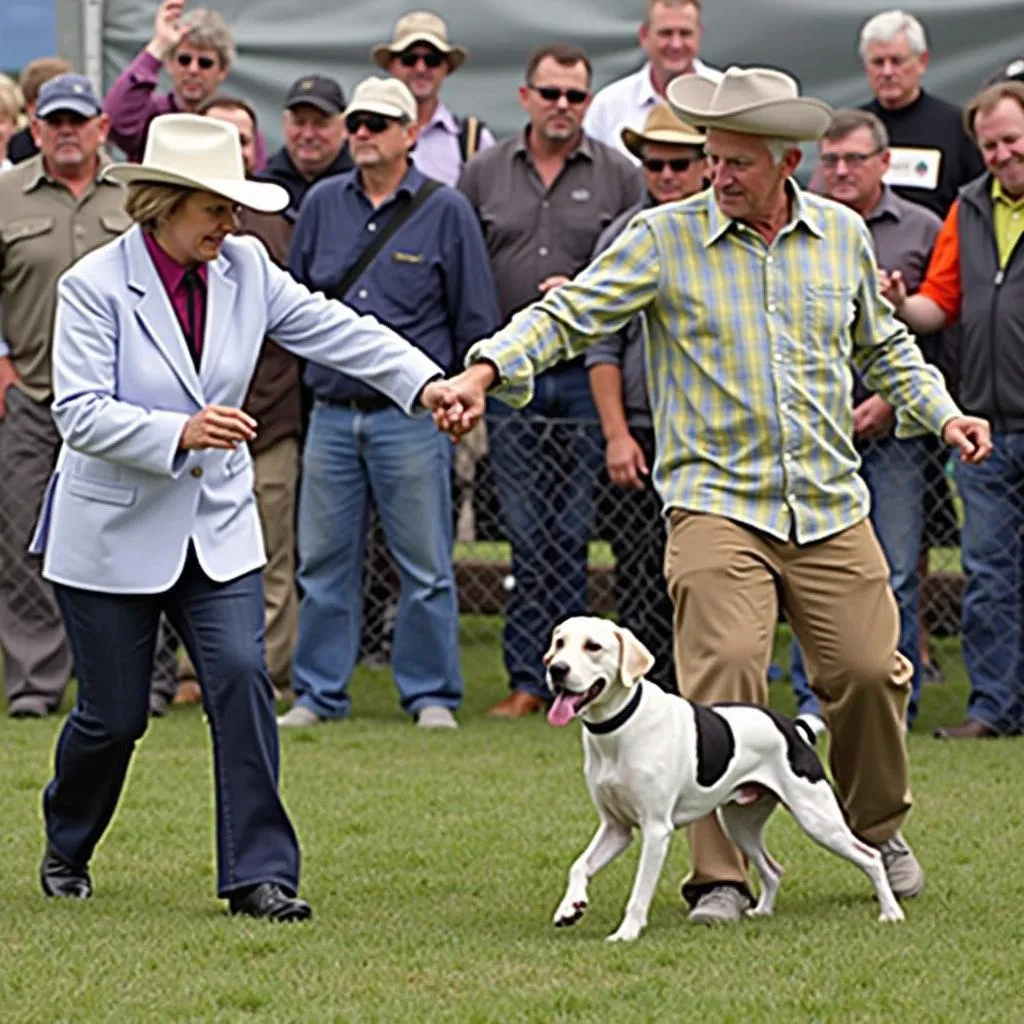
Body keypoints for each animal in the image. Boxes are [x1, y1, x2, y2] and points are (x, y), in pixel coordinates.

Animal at [544, 614, 905, 942]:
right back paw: (763, 910)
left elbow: (639, 892)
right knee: (772, 870)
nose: (556, 669)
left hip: (818, 819)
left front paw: (627, 932)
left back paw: (891, 912)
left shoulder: (656, 830)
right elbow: (579, 865)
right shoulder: (616, 828)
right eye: (559, 643)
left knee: (871, 857)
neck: (620, 729)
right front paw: (570, 907)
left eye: (593, 646)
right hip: (739, 824)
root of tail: (794, 729)